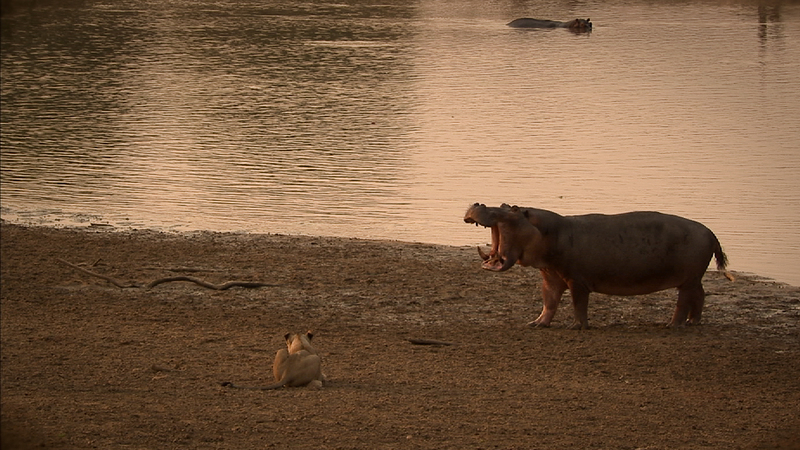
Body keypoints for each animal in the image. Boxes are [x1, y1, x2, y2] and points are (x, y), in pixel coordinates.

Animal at [466, 202, 736, 328]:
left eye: (512, 208)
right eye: (503, 204)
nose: (478, 204)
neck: (547, 230)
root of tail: (711, 232)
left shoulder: (576, 279)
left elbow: (578, 303)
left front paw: (577, 326)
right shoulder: (550, 276)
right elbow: (549, 302)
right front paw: (536, 324)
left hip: (687, 279)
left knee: (684, 301)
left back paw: (673, 325)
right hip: (694, 278)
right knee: (700, 296)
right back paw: (693, 322)